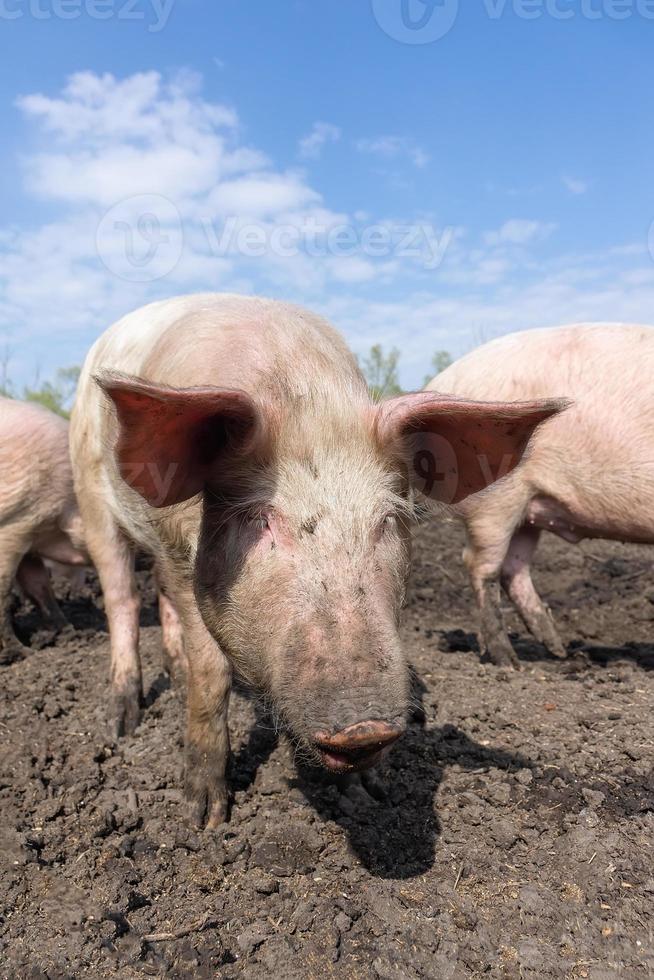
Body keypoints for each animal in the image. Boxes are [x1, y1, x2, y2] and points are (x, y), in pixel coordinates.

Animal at [0, 394, 88, 664]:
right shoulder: (13, 524)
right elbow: (4, 591)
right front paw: (21, 653)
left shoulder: (31, 538)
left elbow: (40, 587)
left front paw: (69, 634)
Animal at [69, 292, 564, 828]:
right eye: (260, 520)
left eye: (389, 518)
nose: (363, 726)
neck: (300, 390)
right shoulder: (180, 553)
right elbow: (211, 675)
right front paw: (204, 817)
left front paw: (369, 795)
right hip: (90, 496)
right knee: (121, 597)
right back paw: (121, 722)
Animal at [428, 326, 654, 668]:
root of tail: (442, 379)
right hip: (495, 500)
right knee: (480, 566)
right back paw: (508, 661)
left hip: (529, 508)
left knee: (514, 569)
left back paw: (558, 649)